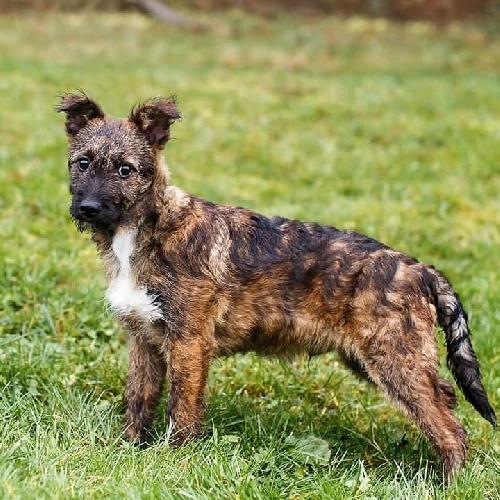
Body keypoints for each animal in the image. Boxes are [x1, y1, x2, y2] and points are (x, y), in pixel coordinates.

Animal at [57, 92, 495, 481]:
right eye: (83, 163)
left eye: (125, 169)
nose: (88, 208)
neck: (147, 228)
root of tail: (420, 269)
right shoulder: (144, 340)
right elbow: (139, 399)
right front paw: (127, 449)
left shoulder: (189, 343)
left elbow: (181, 407)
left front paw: (172, 459)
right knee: (446, 401)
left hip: (394, 358)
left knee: (450, 428)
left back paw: (449, 483)